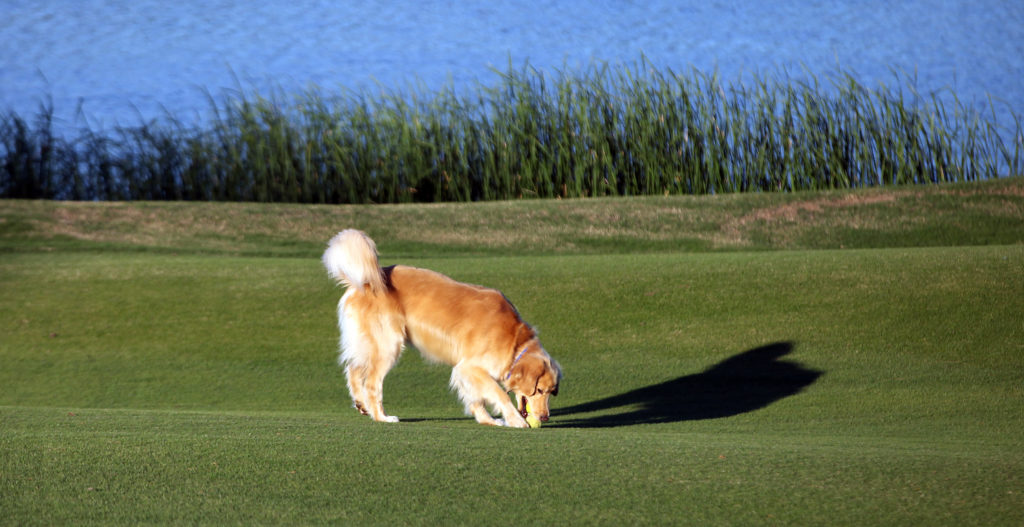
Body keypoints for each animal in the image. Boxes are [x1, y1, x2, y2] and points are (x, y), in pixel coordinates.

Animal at [319, 229, 561, 427]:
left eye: (551, 392)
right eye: (539, 390)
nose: (545, 418)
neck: (514, 340)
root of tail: (367, 282)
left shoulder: (465, 372)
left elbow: (476, 399)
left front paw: (488, 420)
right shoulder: (470, 368)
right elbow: (498, 393)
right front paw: (515, 420)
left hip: (369, 344)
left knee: (353, 369)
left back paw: (362, 404)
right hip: (388, 346)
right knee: (371, 383)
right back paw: (382, 417)